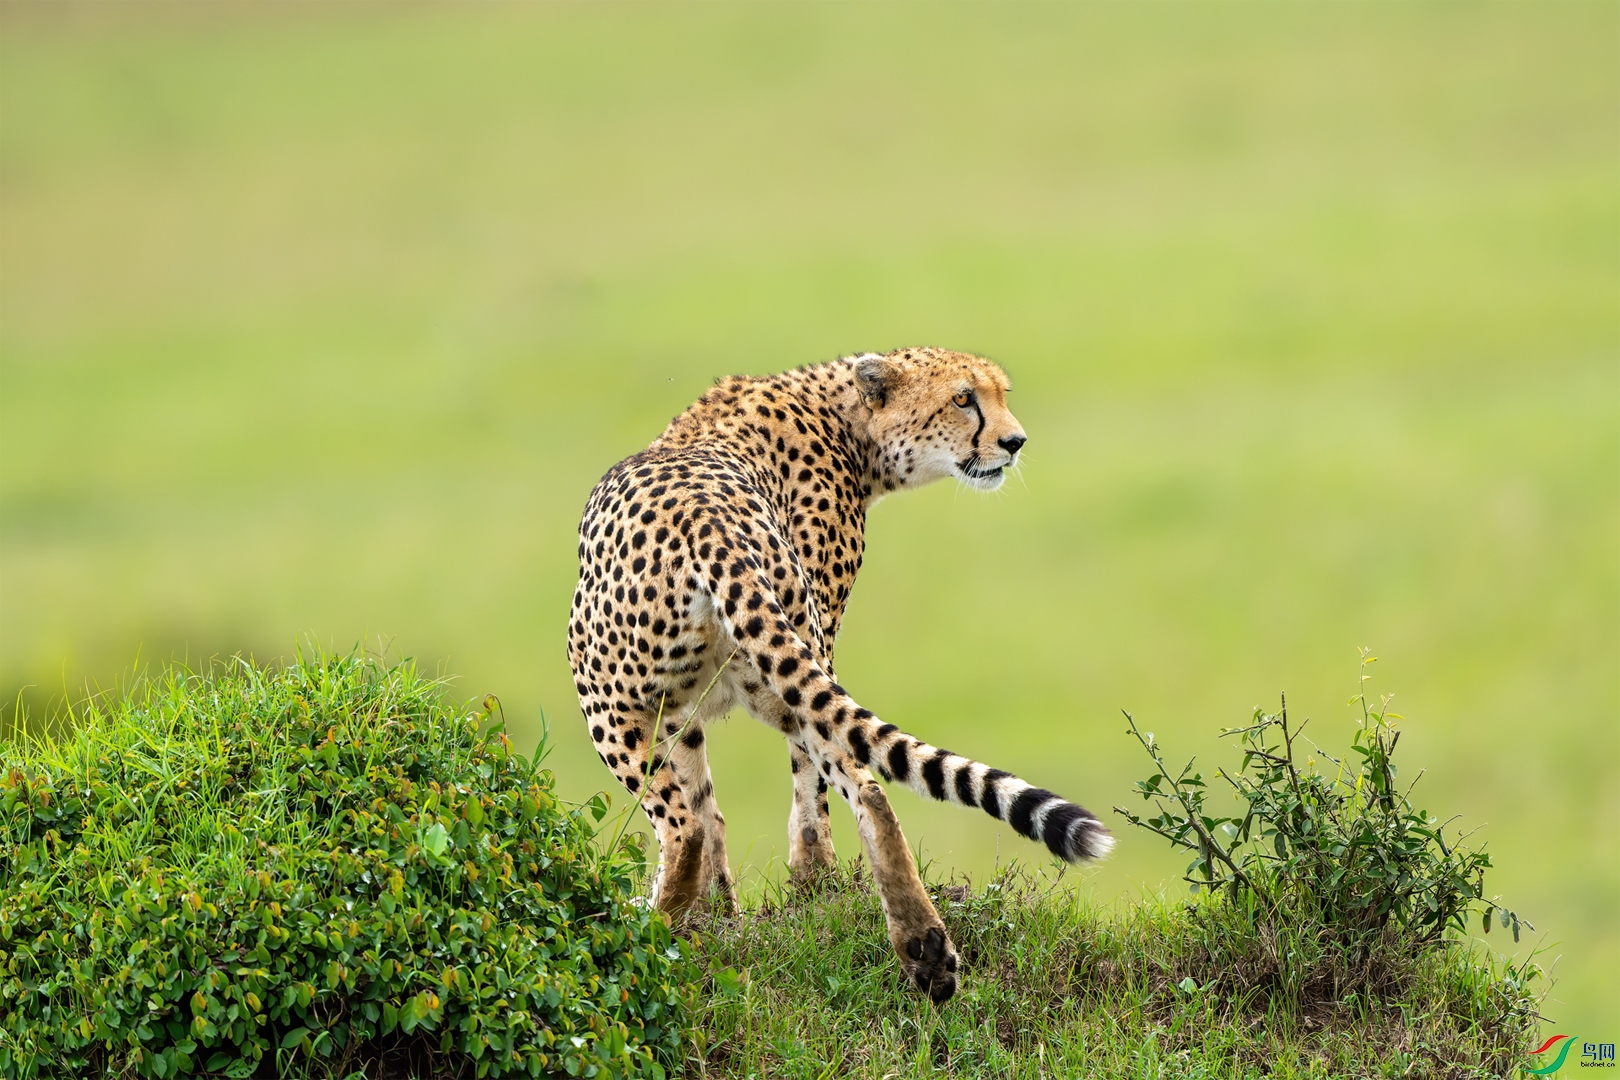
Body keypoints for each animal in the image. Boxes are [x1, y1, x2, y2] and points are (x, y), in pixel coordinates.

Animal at [567, 346, 1112, 1003]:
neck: (845, 420)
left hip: (606, 695)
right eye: (963, 398)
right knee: (862, 786)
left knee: (684, 826)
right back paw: (923, 945)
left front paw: (716, 918)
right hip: (764, 668)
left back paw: (653, 928)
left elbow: (722, 808)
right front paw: (725, 915)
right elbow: (718, 802)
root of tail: (707, 521)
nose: (1014, 441)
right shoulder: (692, 704)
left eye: (997, 394)